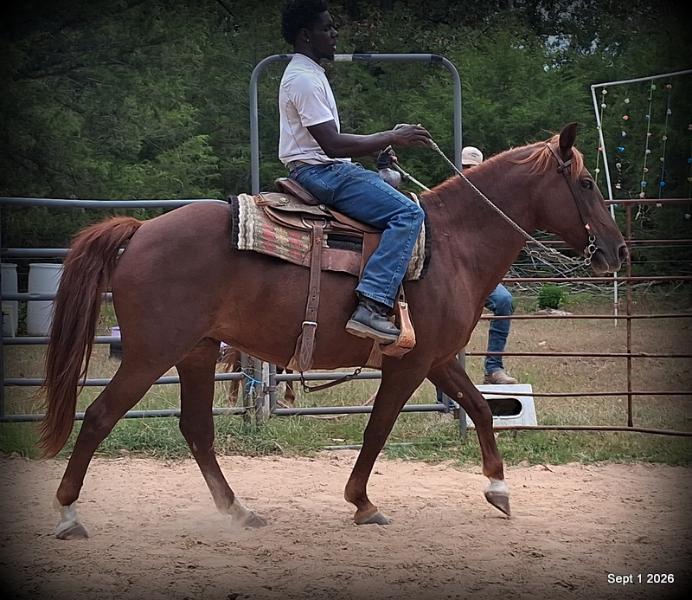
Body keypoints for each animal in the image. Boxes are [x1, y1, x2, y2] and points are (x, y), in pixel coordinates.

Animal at [39, 123, 626, 539]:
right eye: (586, 183)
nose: (618, 251)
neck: (453, 243)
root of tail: (139, 232)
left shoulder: (436, 360)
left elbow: (481, 408)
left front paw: (499, 489)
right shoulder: (410, 364)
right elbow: (378, 429)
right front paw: (363, 503)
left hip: (196, 353)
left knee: (197, 431)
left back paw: (240, 512)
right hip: (149, 353)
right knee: (99, 417)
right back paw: (69, 517)